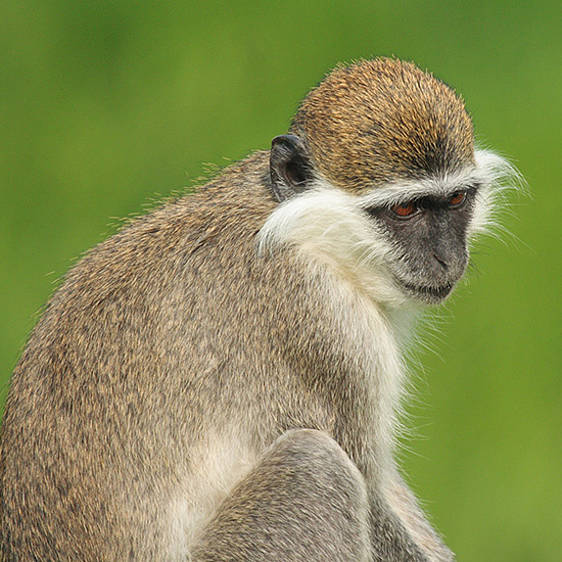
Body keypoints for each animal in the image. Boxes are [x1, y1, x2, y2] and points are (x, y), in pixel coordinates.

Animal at [0, 59, 516, 556]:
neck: (298, 227)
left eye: (455, 199)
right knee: (315, 463)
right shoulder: (323, 326)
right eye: (405, 210)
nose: (448, 258)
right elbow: (369, 488)